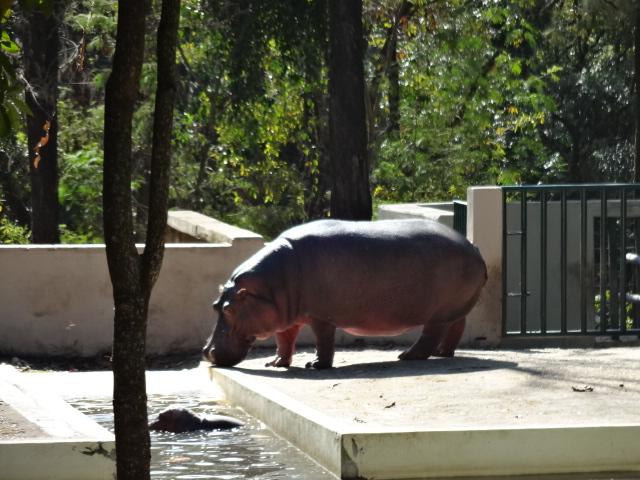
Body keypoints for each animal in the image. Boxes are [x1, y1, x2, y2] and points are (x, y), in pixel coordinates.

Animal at [203, 219, 487, 369]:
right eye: (215, 305)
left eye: (229, 309)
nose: (207, 352)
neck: (266, 289)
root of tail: (473, 247)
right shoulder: (286, 315)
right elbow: (284, 339)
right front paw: (275, 363)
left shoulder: (320, 316)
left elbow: (323, 340)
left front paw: (315, 365)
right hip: (454, 308)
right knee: (456, 327)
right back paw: (442, 352)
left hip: (438, 313)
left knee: (430, 334)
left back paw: (407, 356)